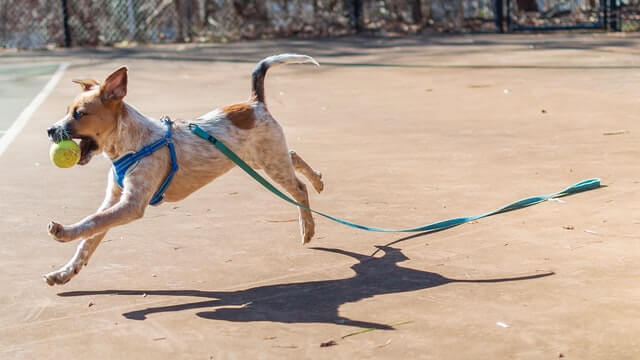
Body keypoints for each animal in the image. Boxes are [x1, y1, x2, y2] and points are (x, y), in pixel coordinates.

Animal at [45, 53, 324, 286]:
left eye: (79, 114)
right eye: (67, 111)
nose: (49, 130)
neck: (130, 146)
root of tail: (255, 103)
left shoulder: (131, 205)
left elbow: (93, 221)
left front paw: (64, 233)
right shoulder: (114, 199)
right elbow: (90, 239)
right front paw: (65, 273)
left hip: (270, 163)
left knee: (299, 188)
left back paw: (308, 226)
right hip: (260, 159)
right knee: (293, 155)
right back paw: (318, 180)